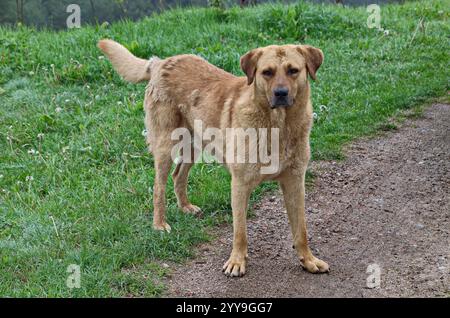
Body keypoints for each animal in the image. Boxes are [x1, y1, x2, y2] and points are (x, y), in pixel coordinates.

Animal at [98, 39, 328, 278]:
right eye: (267, 72)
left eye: (293, 70)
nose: (281, 93)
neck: (279, 125)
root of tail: (160, 62)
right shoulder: (240, 184)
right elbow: (240, 232)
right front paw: (236, 262)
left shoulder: (295, 182)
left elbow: (301, 230)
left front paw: (308, 260)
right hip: (165, 146)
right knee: (158, 187)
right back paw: (159, 224)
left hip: (193, 144)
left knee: (178, 175)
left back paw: (186, 206)